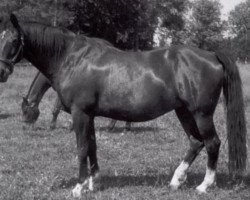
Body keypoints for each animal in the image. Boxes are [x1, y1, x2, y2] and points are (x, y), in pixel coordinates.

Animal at [0, 14, 246, 197]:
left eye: (14, 40)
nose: (2, 71)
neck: (72, 58)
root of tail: (211, 55)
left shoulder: (80, 114)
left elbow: (82, 148)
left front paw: (79, 187)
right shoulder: (89, 115)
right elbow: (92, 146)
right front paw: (95, 183)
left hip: (201, 113)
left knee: (212, 143)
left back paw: (204, 185)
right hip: (183, 111)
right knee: (196, 142)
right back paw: (176, 180)